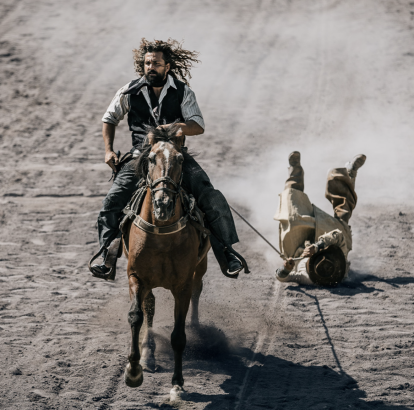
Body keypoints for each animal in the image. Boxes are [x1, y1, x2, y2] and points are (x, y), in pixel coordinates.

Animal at [121, 125, 209, 400]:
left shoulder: (182, 285)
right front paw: (133, 371)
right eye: (151, 158)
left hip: (201, 267)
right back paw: (148, 355)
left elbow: (178, 336)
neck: (161, 233)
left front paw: (177, 384)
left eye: (180, 159)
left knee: (198, 291)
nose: (163, 204)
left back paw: (197, 328)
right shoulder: (136, 276)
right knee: (149, 306)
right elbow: (136, 315)